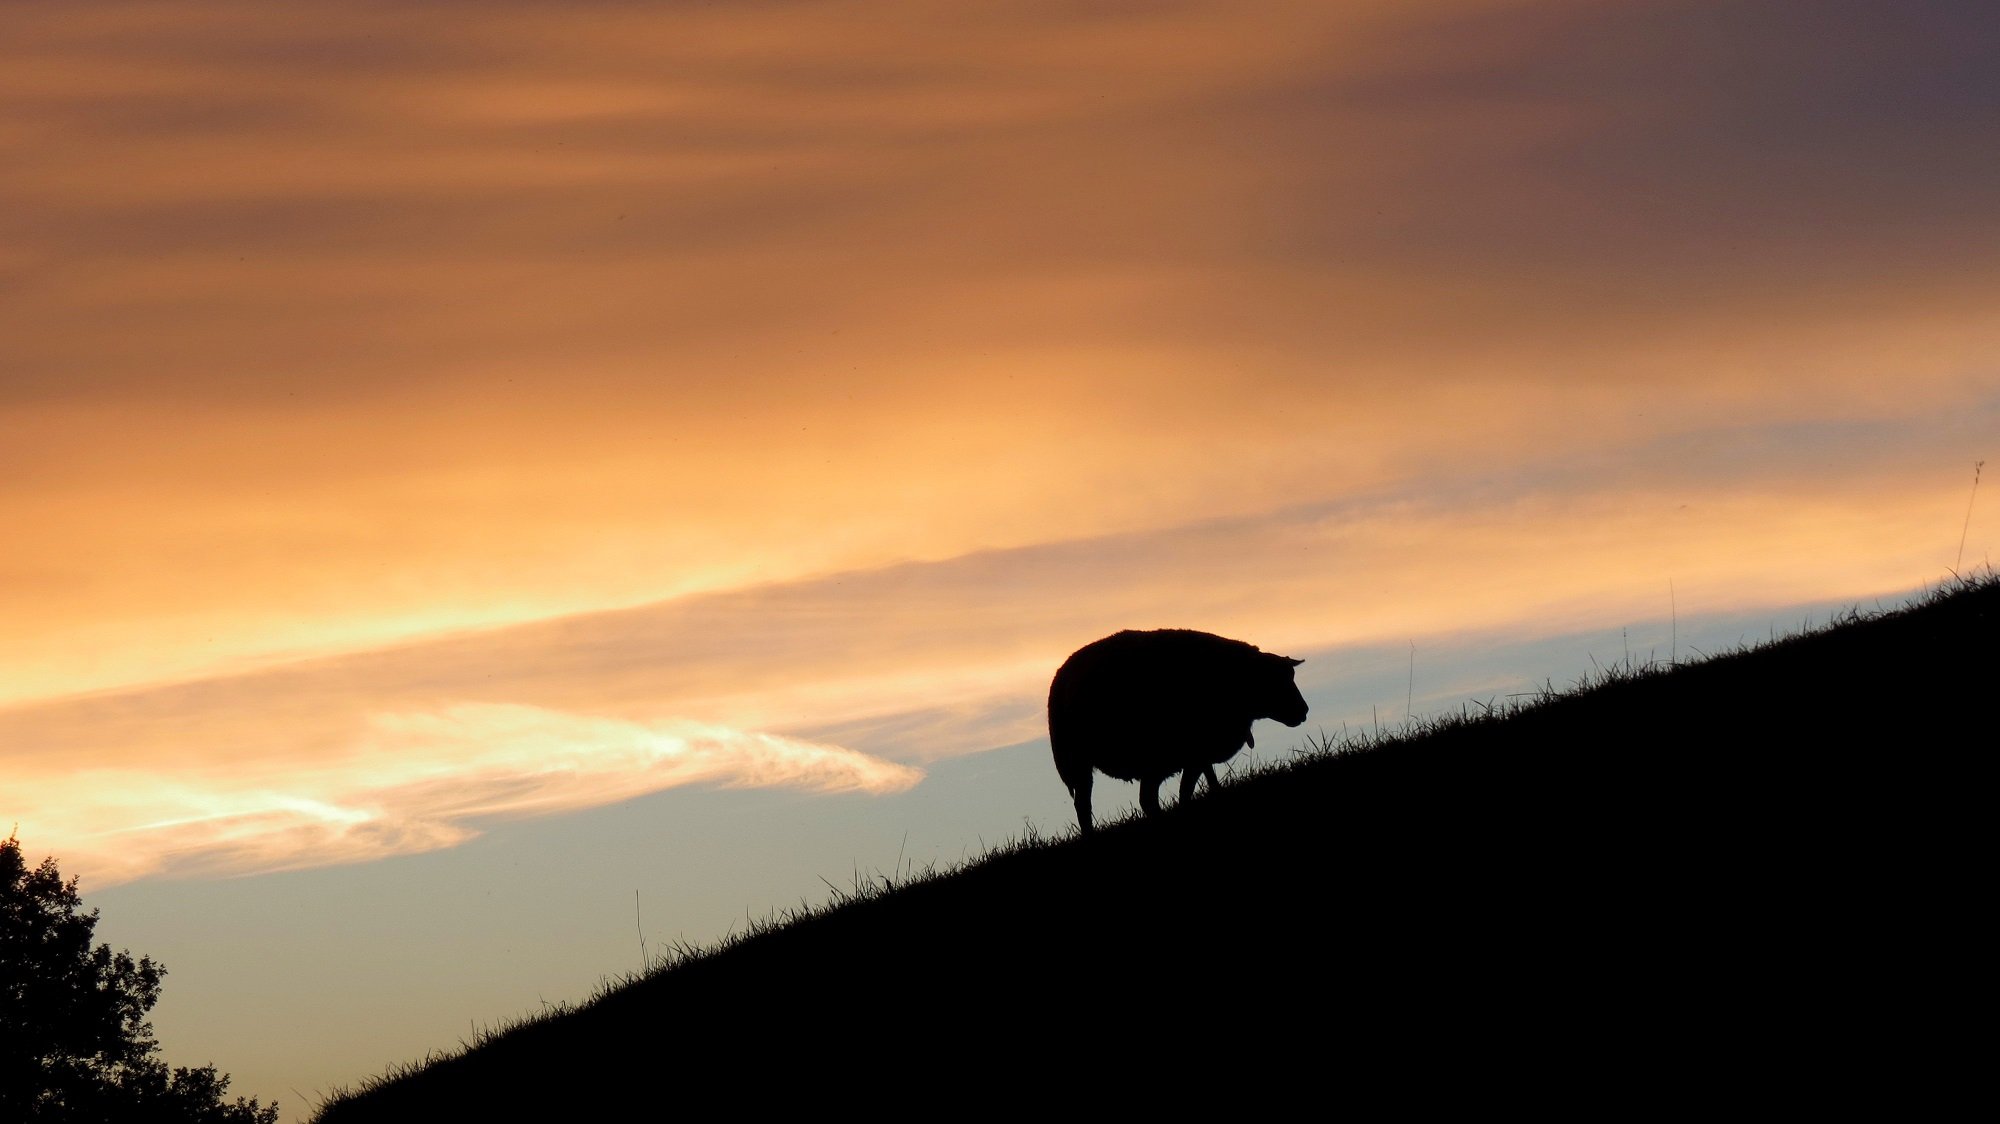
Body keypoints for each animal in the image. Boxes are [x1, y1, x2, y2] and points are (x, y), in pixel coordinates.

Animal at [1048, 628, 1308, 833]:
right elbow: (1186, 791)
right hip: (1085, 760)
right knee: (1098, 804)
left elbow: (1204, 781)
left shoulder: (1200, 752)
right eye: (1275, 680)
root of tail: (1060, 679)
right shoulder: (1191, 751)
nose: (1304, 711)